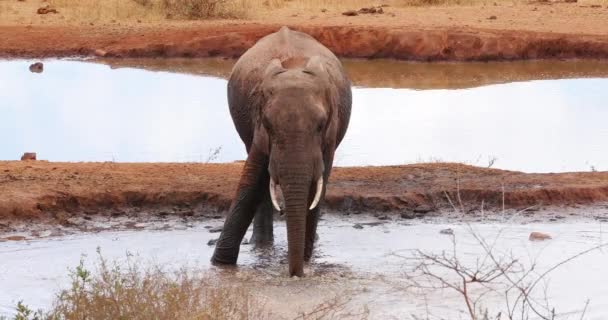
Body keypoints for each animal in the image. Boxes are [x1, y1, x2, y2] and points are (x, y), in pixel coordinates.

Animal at [211, 26, 352, 276]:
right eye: (268, 125)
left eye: (320, 125)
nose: (296, 274)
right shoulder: (257, 123)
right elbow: (251, 180)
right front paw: (220, 265)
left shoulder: (330, 134)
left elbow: (317, 185)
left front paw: (306, 262)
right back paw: (261, 245)